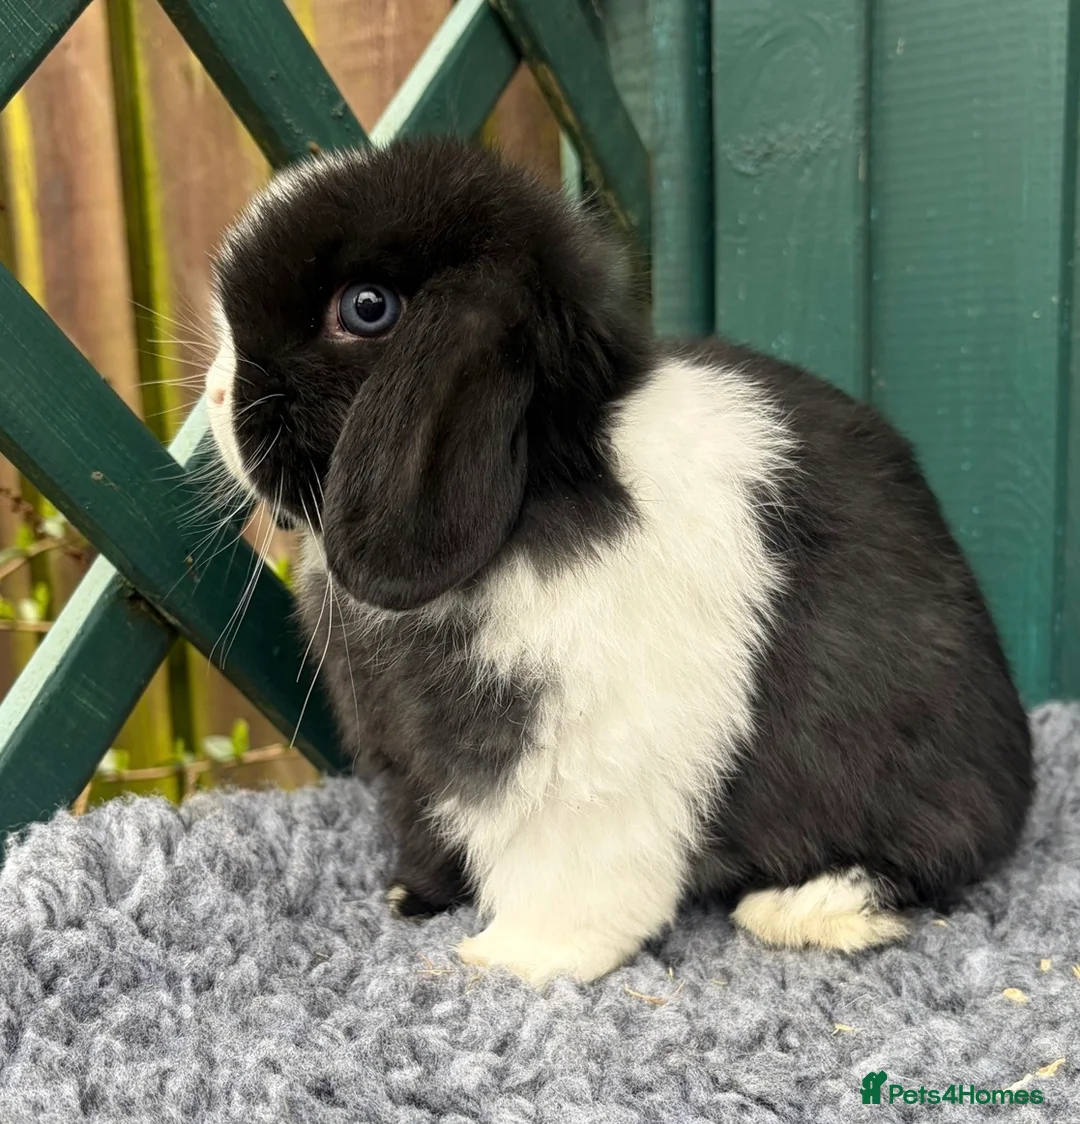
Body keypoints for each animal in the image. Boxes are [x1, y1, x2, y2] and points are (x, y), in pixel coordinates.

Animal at [203, 137, 1033, 986]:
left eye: (368, 308)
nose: (214, 396)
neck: (543, 483)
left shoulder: (580, 776)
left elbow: (570, 884)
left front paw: (506, 959)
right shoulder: (413, 770)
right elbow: (429, 828)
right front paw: (412, 898)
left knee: (931, 857)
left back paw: (800, 909)